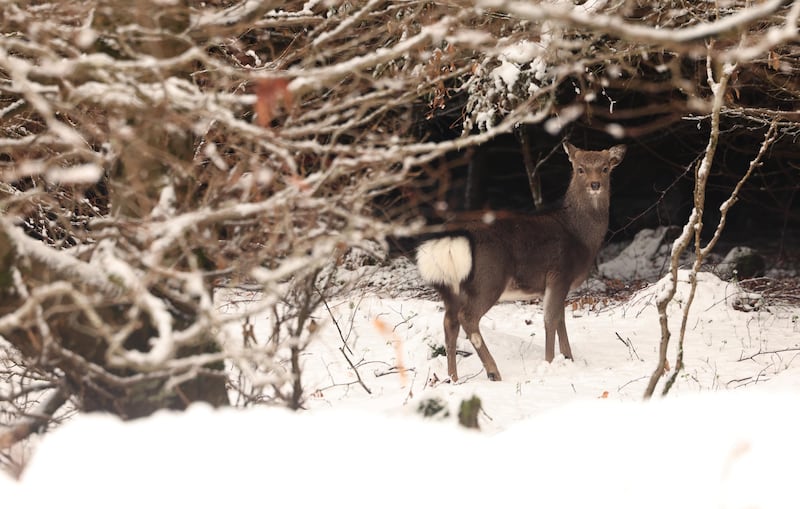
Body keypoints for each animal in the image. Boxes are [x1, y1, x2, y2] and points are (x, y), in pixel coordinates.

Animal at [416, 141, 628, 380]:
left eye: (605, 168)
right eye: (580, 169)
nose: (595, 184)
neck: (579, 235)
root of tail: (451, 241)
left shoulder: (557, 283)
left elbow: (561, 319)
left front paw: (568, 358)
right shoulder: (559, 273)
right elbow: (550, 320)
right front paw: (549, 363)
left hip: (450, 287)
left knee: (449, 323)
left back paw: (453, 377)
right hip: (488, 278)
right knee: (467, 318)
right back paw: (493, 372)